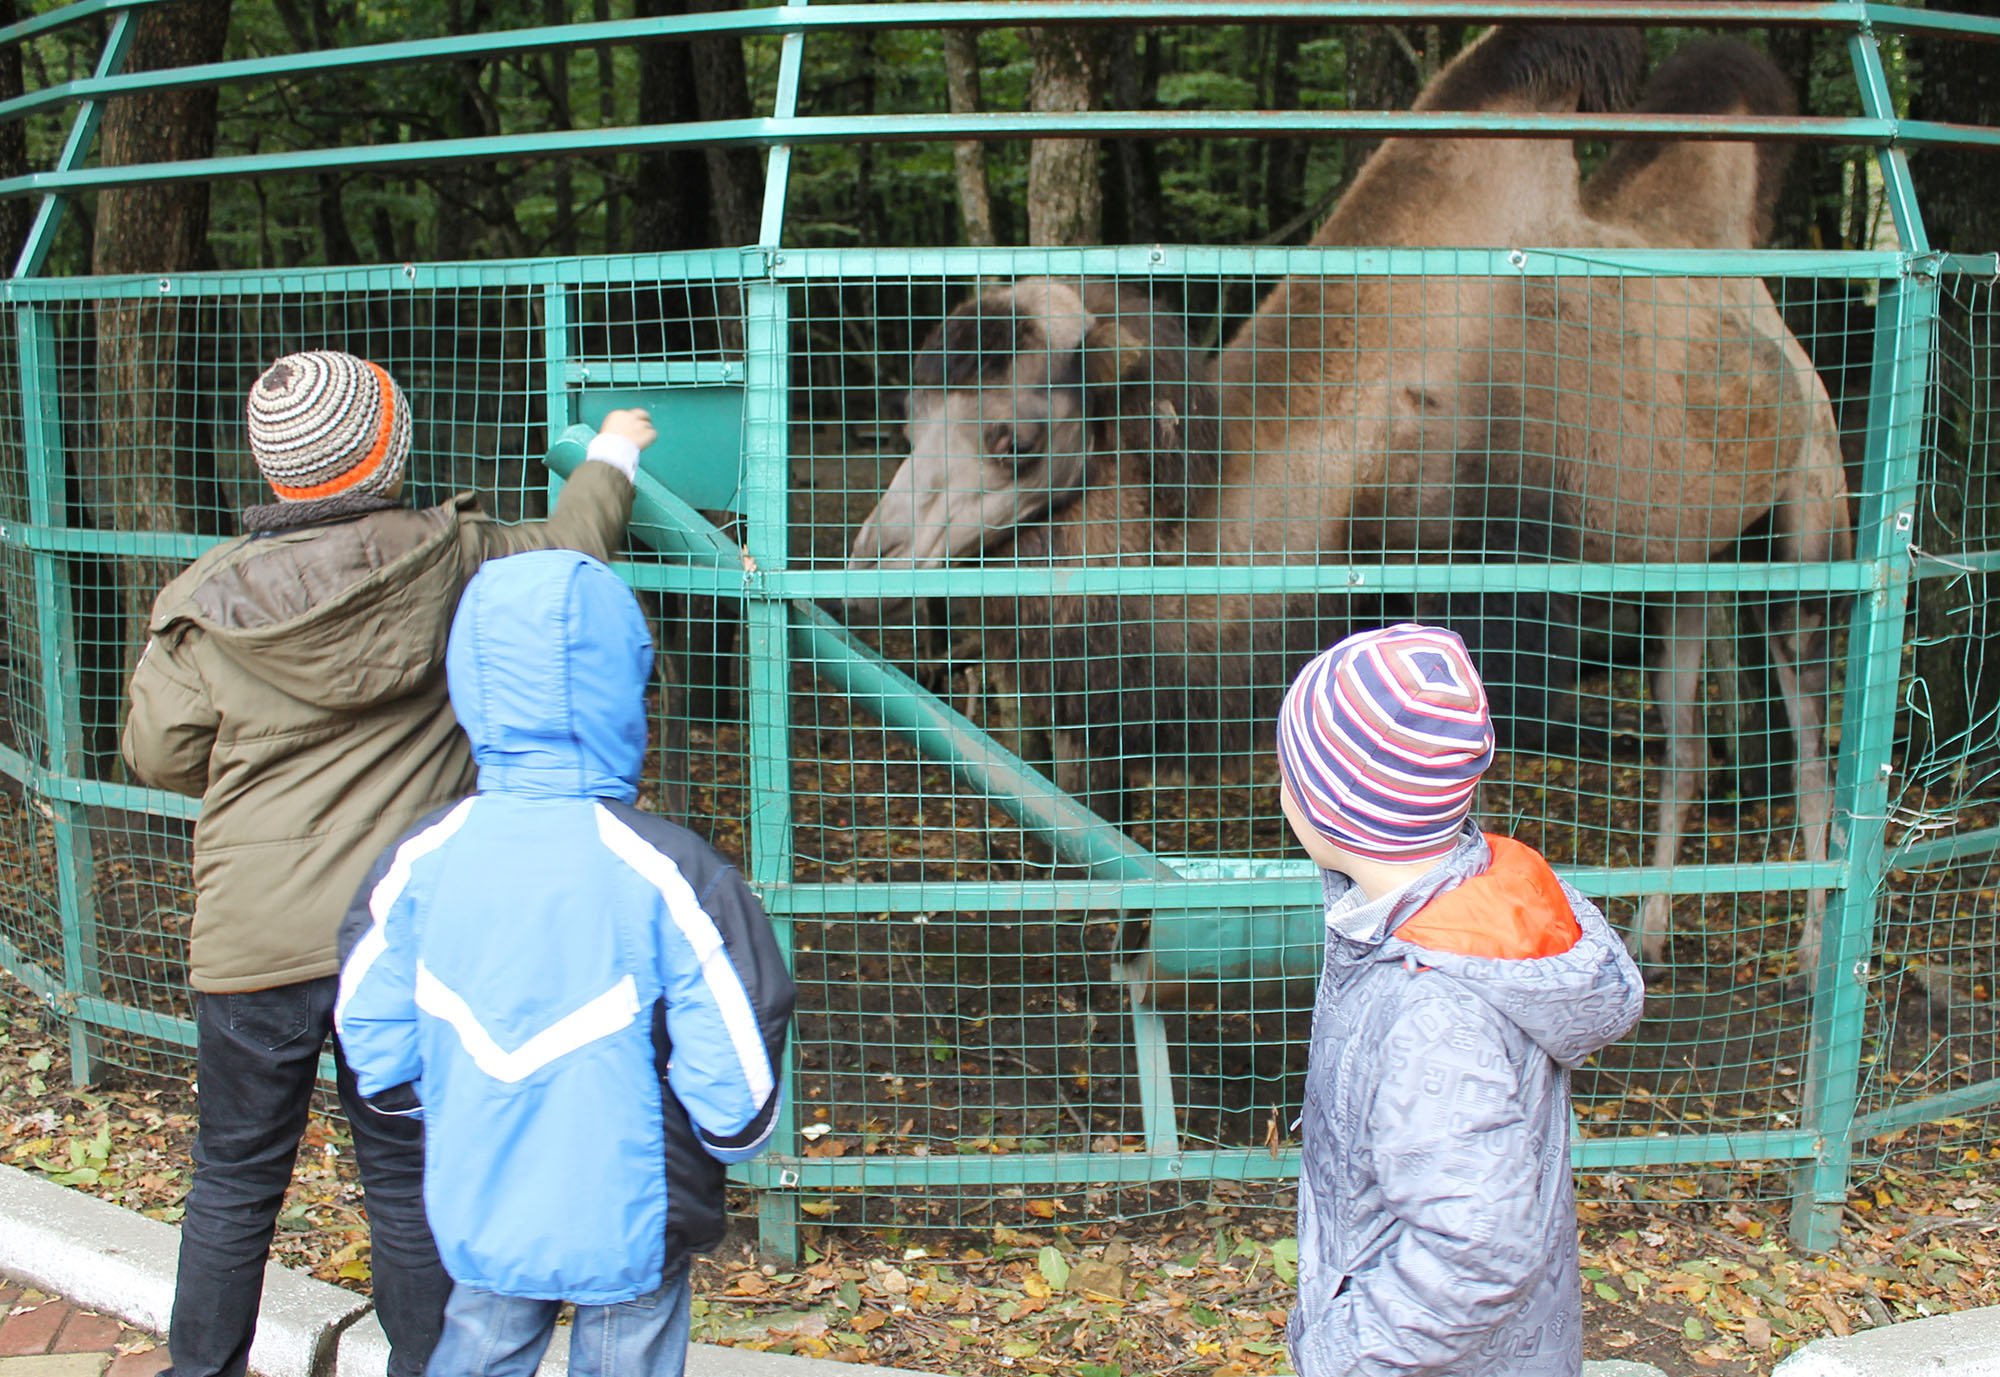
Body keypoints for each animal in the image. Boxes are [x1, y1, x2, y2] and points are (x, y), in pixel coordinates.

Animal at [840, 26, 1840, 984]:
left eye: (1013, 436)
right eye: (907, 418)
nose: (868, 564)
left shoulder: (1481, 603)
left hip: (1802, 523)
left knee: (1809, 740)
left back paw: (1808, 955)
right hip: (1689, 566)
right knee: (1685, 743)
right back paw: (1657, 935)